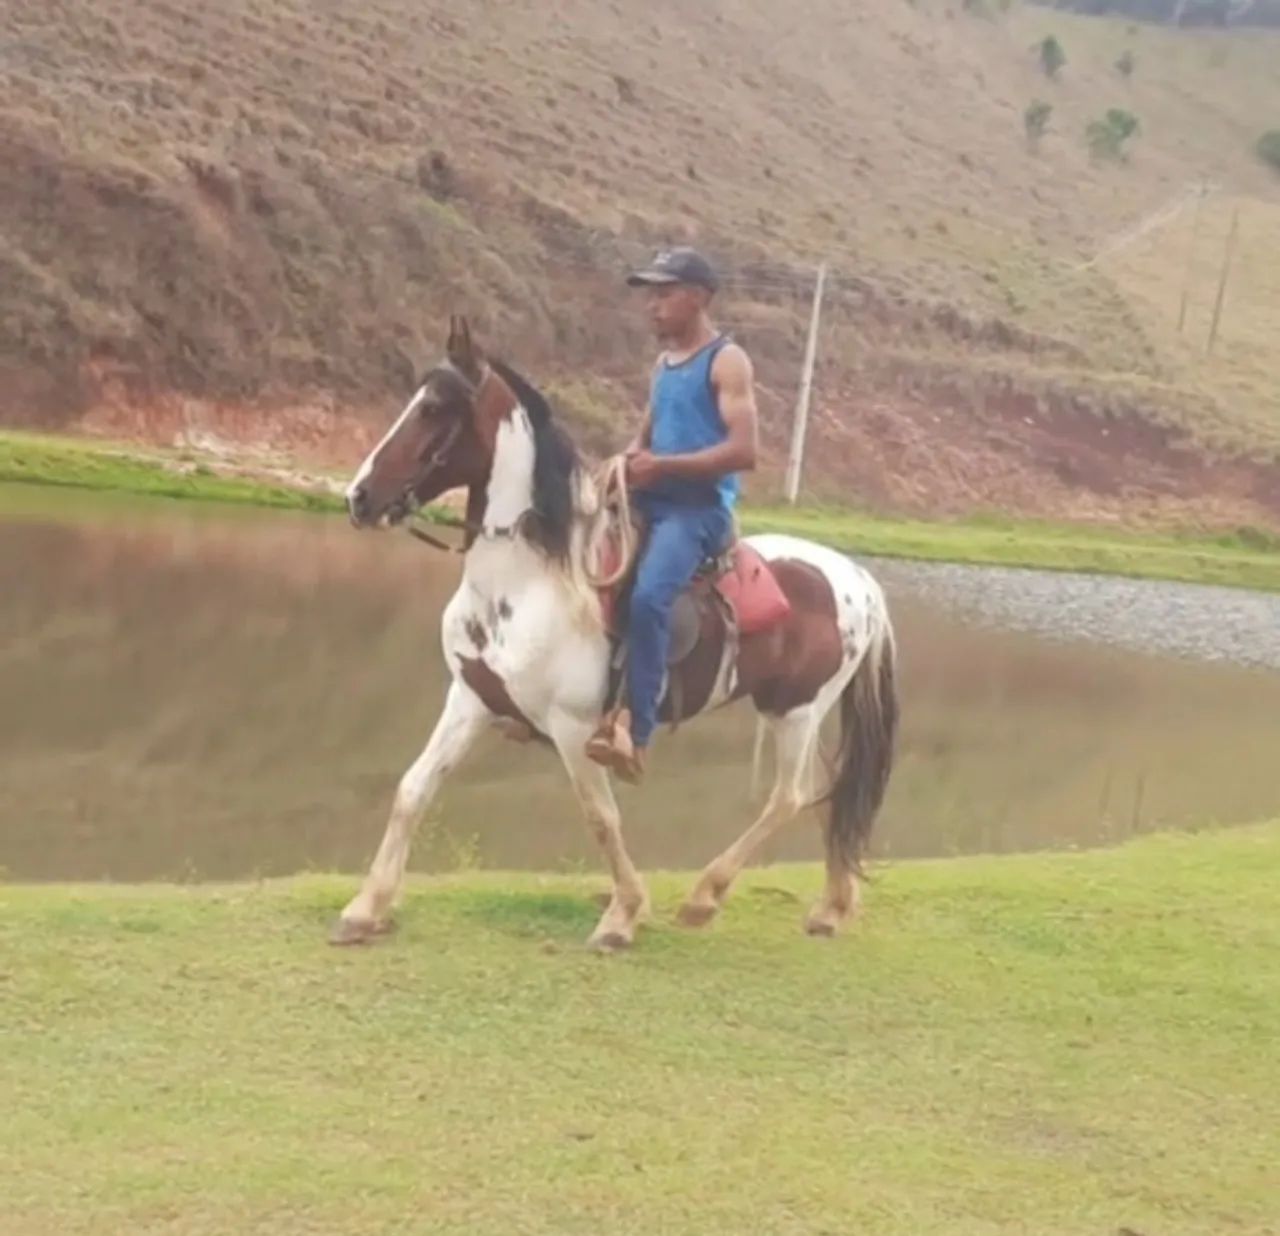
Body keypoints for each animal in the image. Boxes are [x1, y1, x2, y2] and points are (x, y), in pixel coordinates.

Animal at [334, 316, 898, 951]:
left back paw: (705, 897)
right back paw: (831, 907)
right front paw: (365, 908)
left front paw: (623, 915)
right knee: (831, 795)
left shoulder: (573, 727)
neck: (528, 582)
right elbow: (412, 790)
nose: (359, 498)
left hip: (796, 708)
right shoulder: (471, 699)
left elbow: (600, 818)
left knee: (789, 797)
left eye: (433, 408)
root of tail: (858, 580)